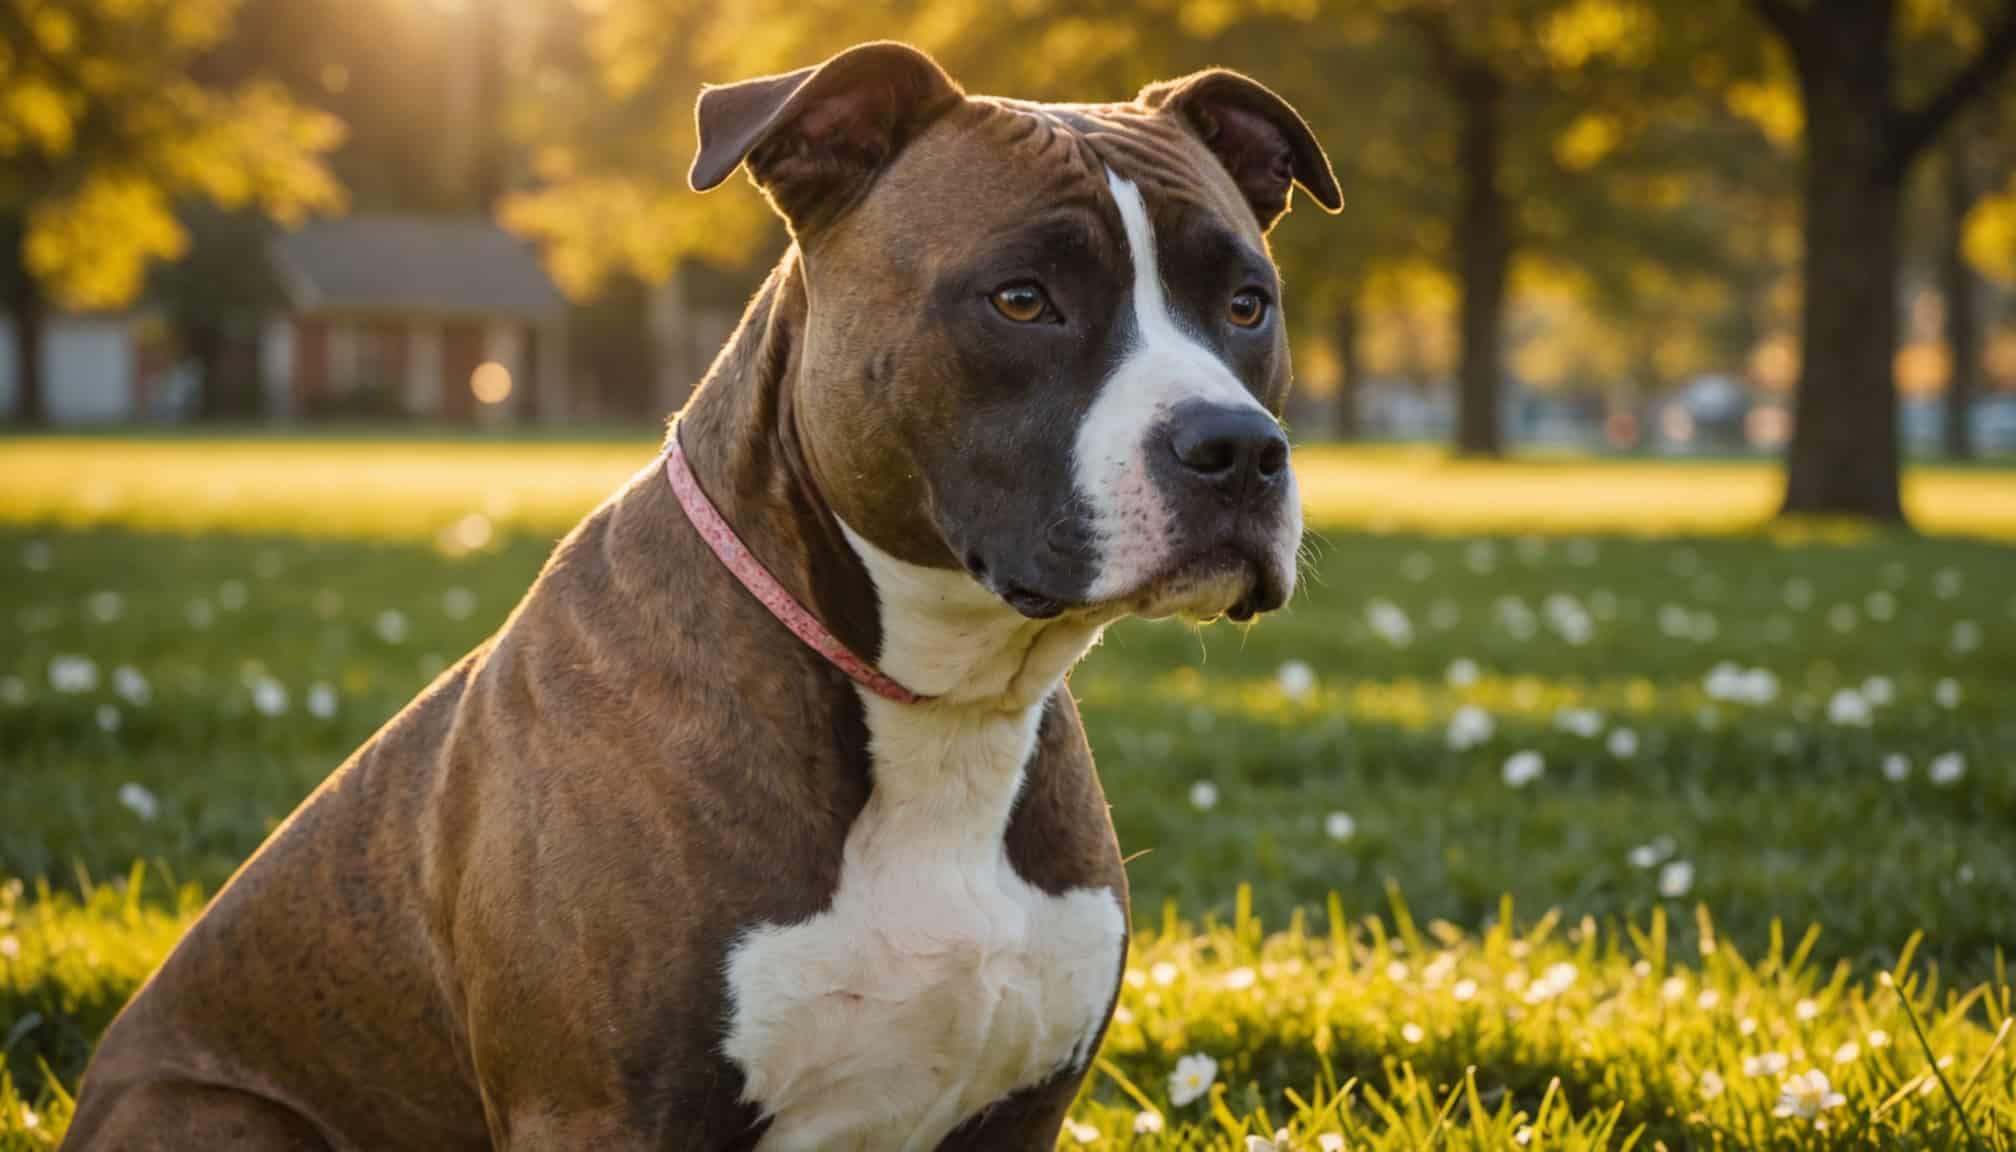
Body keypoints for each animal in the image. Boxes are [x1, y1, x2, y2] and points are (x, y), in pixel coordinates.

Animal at [58, 38, 1338, 1152]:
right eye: (1023, 300)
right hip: (218, 1115)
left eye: (1247, 303)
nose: (1236, 448)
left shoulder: (1017, 1114)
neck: (943, 708)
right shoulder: (599, 1114)